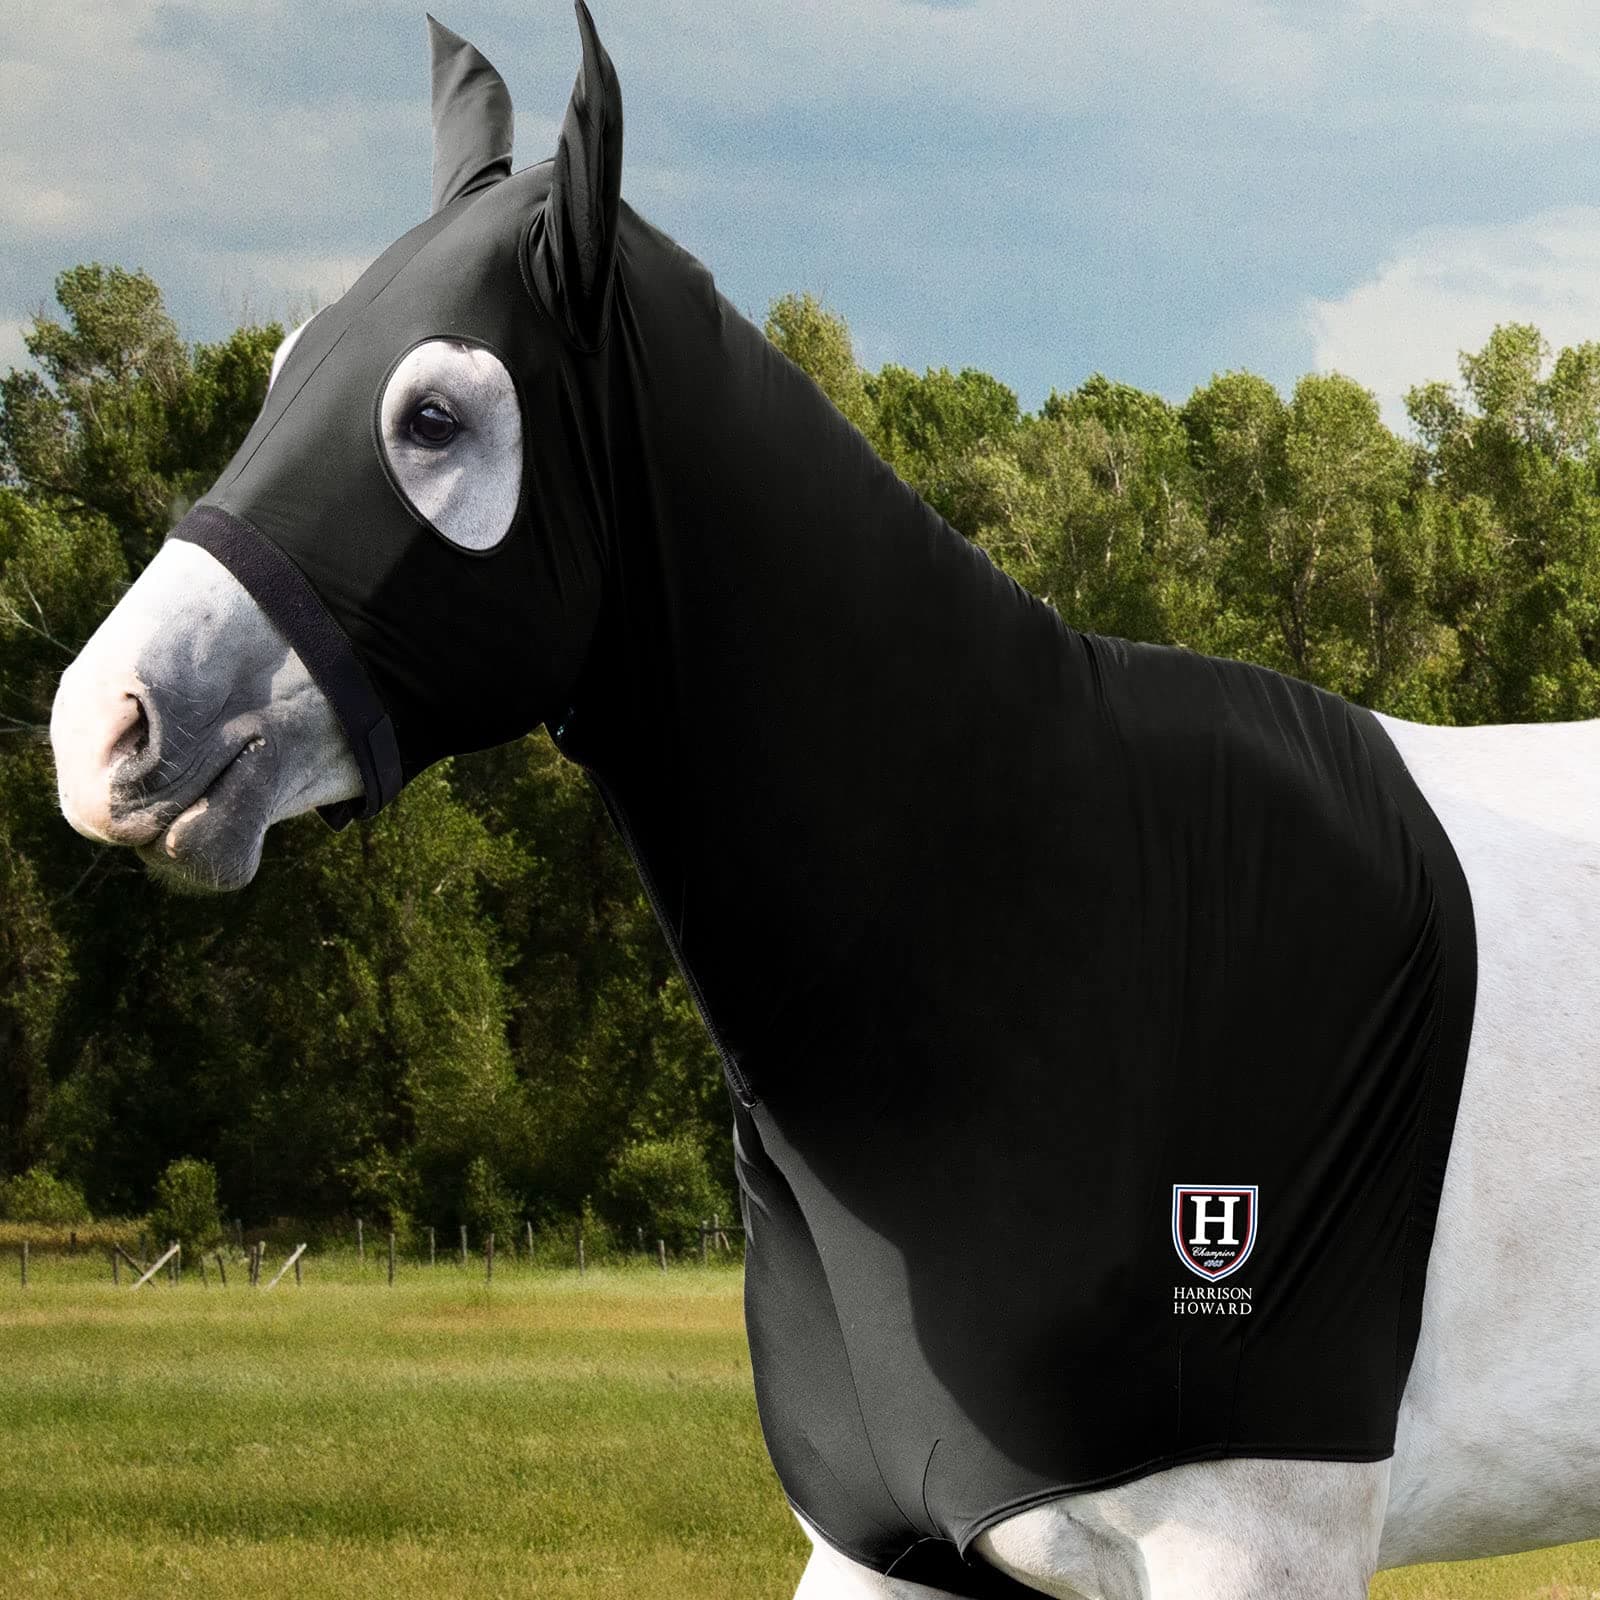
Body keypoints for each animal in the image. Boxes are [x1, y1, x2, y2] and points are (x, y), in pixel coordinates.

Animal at [46, 8, 1600, 1597]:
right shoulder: (877, 1544)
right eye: (283, 362)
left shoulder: (1254, 1540)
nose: (104, 729)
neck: (1050, 924)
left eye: (430, 416)